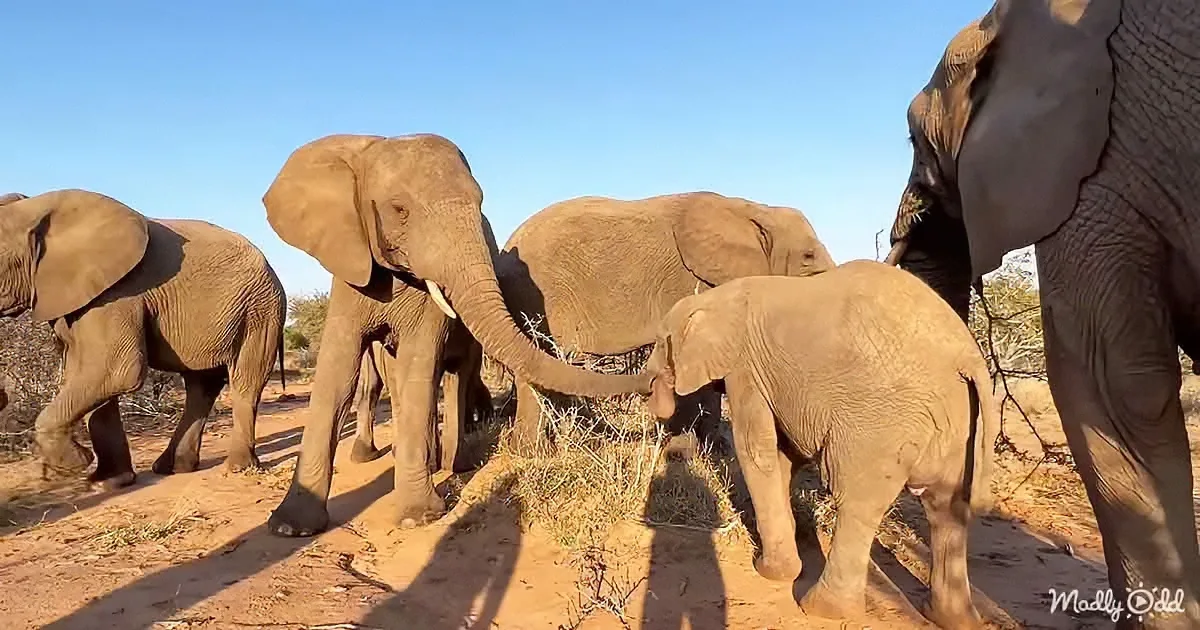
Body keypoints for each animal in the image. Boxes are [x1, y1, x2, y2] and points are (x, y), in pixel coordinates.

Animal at [0, 189, 287, 487]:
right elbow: (83, 372)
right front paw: (108, 482)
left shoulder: (119, 293)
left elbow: (117, 370)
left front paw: (74, 465)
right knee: (201, 385)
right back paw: (173, 468)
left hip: (260, 310)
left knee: (245, 381)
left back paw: (236, 469)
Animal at [495, 191, 835, 452]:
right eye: (808, 257)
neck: (754, 209)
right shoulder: (689, 282)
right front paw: (685, 453)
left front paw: (715, 449)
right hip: (538, 295)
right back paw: (534, 453)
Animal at [642, 261, 1000, 629]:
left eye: (660, 342)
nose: (647, 387)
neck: (715, 298)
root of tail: (969, 357)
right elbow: (786, 455)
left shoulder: (745, 368)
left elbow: (757, 450)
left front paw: (772, 571)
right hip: (957, 421)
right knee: (947, 510)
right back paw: (950, 617)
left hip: (882, 421)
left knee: (858, 503)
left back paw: (821, 609)